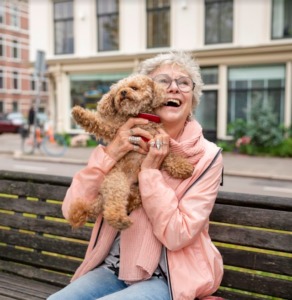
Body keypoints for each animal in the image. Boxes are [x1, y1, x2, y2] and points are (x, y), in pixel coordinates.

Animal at [69, 74, 194, 230]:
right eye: (118, 91)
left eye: (134, 87)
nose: (123, 92)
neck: (141, 116)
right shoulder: (116, 129)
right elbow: (98, 122)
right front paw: (79, 113)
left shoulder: (157, 139)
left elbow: (170, 155)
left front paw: (184, 167)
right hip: (117, 181)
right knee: (113, 204)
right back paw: (119, 219)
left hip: (138, 188)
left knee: (132, 199)